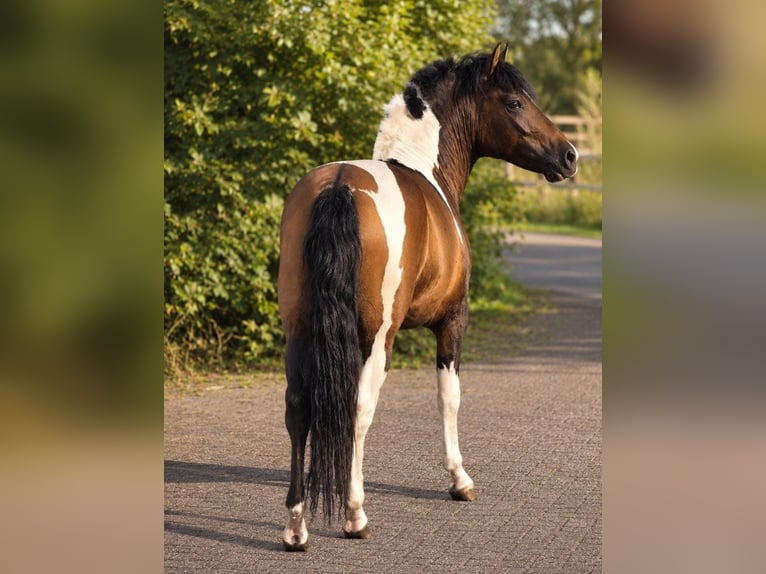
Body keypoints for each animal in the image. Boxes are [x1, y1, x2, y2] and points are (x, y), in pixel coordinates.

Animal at [277, 44, 577, 551]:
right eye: (515, 102)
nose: (570, 156)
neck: (423, 169)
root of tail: (339, 186)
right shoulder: (453, 321)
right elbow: (448, 396)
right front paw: (460, 480)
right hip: (378, 338)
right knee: (359, 410)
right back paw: (355, 515)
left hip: (297, 330)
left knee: (298, 409)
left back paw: (296, 527)